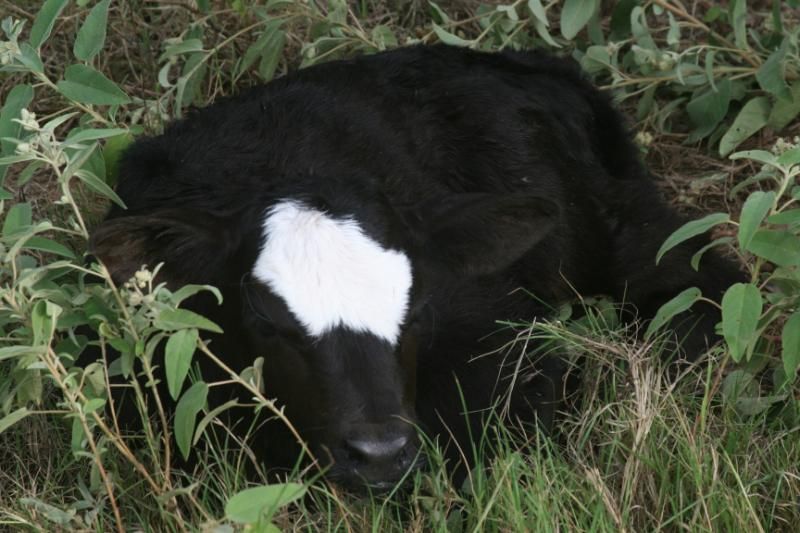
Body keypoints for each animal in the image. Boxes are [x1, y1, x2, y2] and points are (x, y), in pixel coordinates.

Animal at [89, 44, 743, 490]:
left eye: (418, 306)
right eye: (267, 320)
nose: (378, 452)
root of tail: (528, 63)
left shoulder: (499, 341)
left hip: (620, 226)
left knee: (698, 285)